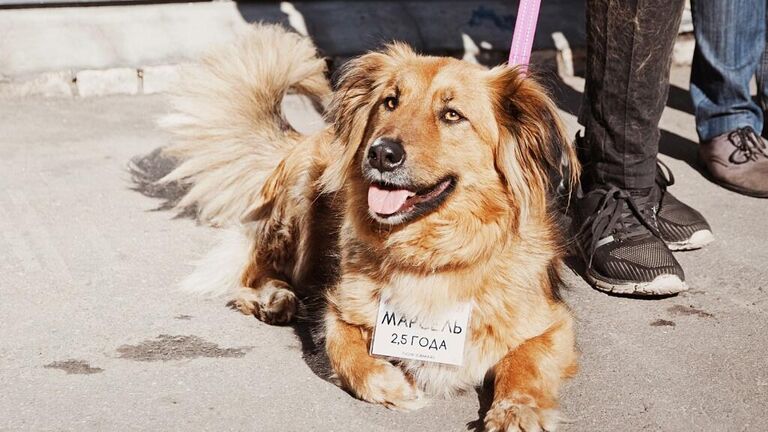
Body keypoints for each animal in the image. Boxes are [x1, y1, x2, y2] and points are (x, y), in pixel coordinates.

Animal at [164, 24, 584, 432]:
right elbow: (345, 352)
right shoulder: (339, 308)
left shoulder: (552, 325)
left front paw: (518, 410)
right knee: (257, 266)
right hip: (301, 190)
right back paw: (274, 297)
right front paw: (390, 385)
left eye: (452, 115)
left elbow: (524, 367)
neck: (430, 251)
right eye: (390, 102)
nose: (381, 153)